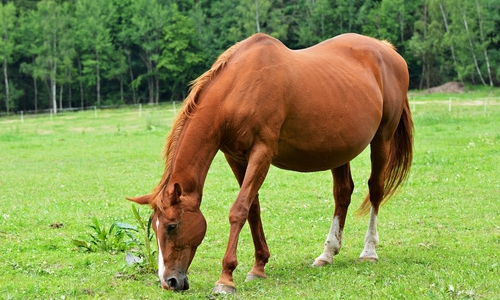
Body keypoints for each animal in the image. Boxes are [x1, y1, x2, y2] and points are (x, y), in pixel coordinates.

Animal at [127, 32, 412, 292]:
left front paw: (225, 279)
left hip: (382, 139)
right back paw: (327, 253)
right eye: (154, 227)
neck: (238, 90)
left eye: (172, 226)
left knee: (375, 189)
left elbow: (239, 209)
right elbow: (253, 209)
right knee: (342, 193)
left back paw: (369, 251)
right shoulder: (235, 157)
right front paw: (258, 267)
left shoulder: (262, 153)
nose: (169, 281)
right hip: (340, 148)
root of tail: (386, 50)